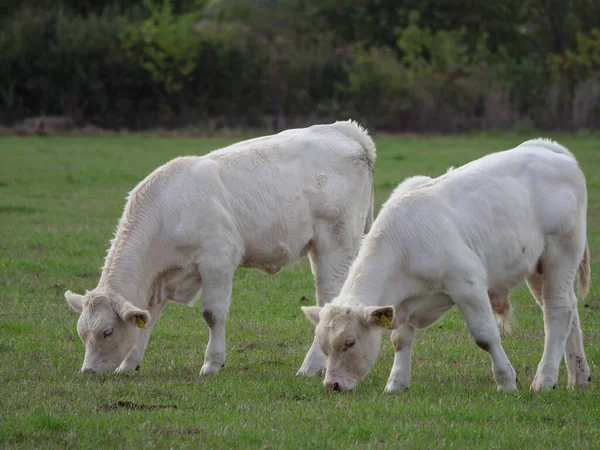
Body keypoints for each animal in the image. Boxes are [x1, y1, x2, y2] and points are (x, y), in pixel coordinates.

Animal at [304, 139, 592, 392]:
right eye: (324, 347)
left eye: (350, 342)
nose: (332, 385)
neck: (402, 244)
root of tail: (550, 148)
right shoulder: (404, 303)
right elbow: (400, 339)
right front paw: (396, 383)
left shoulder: (468, 284)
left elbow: (486, 336)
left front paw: (506, 381)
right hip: (538, 267)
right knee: (568, 309)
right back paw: (578, 377)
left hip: (561, 253)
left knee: (557, 310)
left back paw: (544, 379)